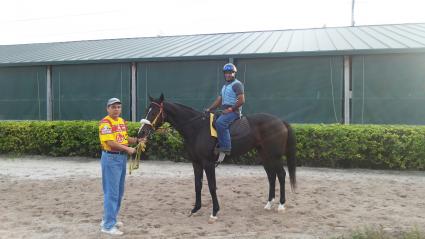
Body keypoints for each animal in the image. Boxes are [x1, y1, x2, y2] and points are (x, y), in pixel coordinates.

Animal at [138, 93, 294, 222]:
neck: (197, 128)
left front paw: (214, 212)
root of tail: (280, 121)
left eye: (154, 112)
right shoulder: (196, 163)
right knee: (271, 176)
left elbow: (212, 186)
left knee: (281, 175)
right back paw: (269, 203)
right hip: (265, 156)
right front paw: (195, 209)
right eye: (146, 110)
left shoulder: (208, 163)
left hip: (275, 156)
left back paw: (281, 205)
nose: (141, 133)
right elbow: (198, 185)